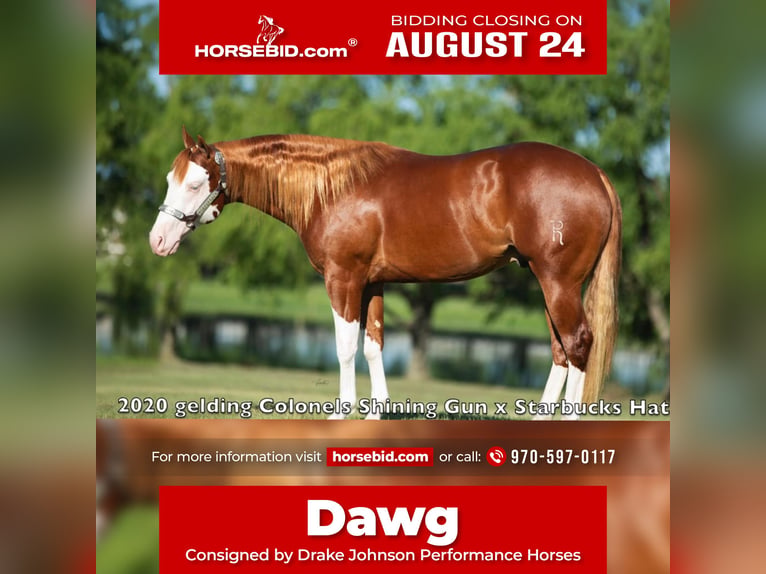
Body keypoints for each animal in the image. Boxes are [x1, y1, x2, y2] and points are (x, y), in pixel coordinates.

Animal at [149, 127, 622, 420]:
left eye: (195, 184)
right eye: (170, 179)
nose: (157, 240)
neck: (333, 188)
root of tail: (594, 173)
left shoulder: (342, 278)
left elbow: (344, 348)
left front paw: (343, 412)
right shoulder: (373, 282)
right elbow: (373, 346)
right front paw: (376, 412)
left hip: (559, 283)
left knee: (578, 344)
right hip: (548, 283)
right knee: (561, 351)